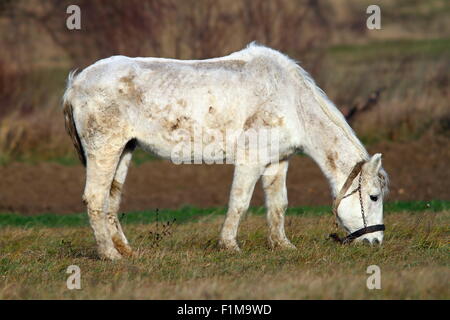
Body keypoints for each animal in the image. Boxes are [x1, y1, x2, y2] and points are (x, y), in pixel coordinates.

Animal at [62, 42, 386, 260]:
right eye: (373, 196)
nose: (377, 241)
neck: (290, 100)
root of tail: (76, 83)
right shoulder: (251, 161)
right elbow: (239, 203)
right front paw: (229, 245)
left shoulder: (277, 162)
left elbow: (278, 205)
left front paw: (282, 245)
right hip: (104, 150)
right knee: (95, 199)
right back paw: (110, 255)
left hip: (124, 151)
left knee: (111, 201)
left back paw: (125, 250)